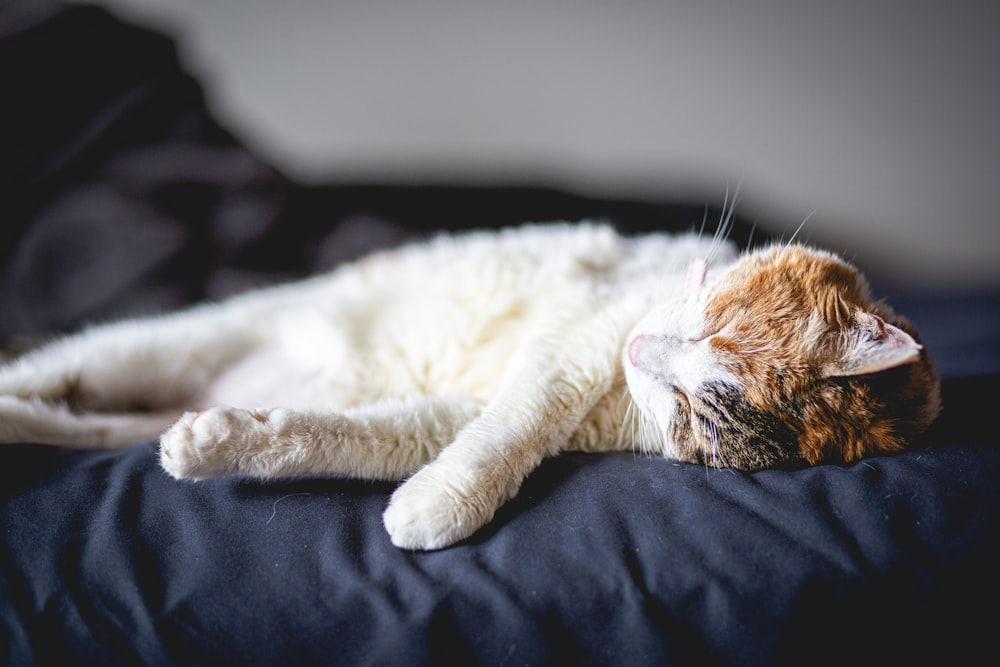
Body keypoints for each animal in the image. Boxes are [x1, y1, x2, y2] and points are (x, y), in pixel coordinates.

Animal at [0, 222, 936, 552]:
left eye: (689, 415)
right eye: (714, 327)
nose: (641, 352)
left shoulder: (462, 414)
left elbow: (375, 437)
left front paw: (225, 441)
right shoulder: (580, 336)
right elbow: (524, 416)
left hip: (121, 407)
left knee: (69, 418)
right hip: (157, 344)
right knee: (58, 369)